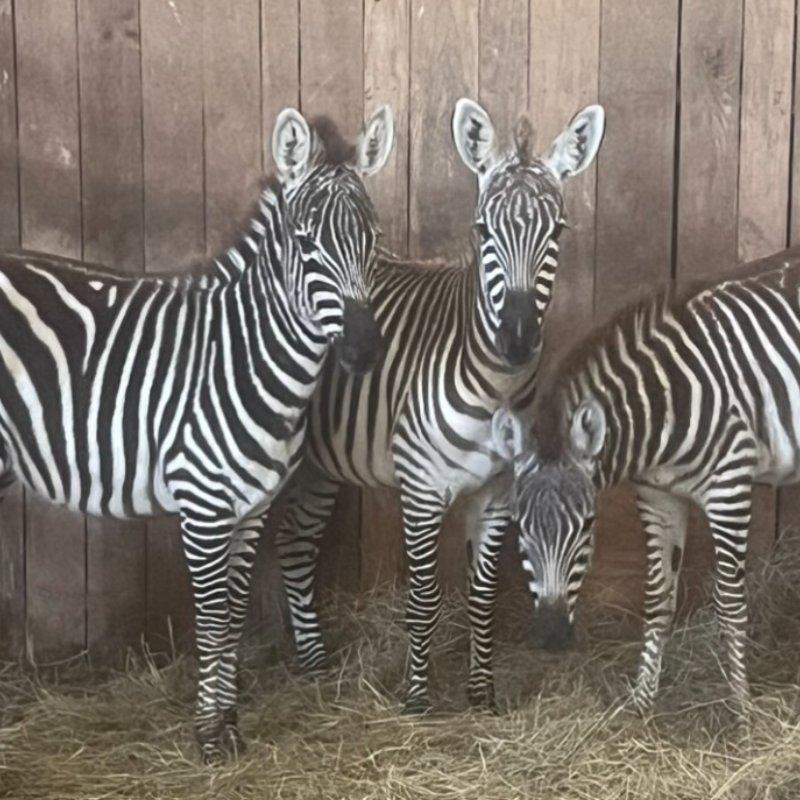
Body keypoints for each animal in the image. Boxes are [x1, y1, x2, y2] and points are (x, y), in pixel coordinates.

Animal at [0, 104, 394, 761]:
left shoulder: (252, 507)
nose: (363, 350)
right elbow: (210, 620)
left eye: (375, 241)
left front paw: (228, 724)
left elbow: (232, 616)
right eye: (304, 242)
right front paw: (210, 736)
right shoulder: (203, 503)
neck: (244, 356)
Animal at [274, 98, 605, 713]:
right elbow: (424, 599)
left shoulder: (497, 493)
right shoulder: (422, 491)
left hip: (320, 463)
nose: (517, 339)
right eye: (483, 231)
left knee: (296, 542)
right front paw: (416, 700)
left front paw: (481, 695)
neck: (495, 389)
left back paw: (314, 660)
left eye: (557, 231)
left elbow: (482, 597)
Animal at [492, 248, 800, 716]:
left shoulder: (729, 485)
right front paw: (641, 701)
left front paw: (743, 709)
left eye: (587, 527)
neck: (666, 402)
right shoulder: (658, 496)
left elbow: (730, 603)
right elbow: (657, 598)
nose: (550, 636)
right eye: (520, 529)